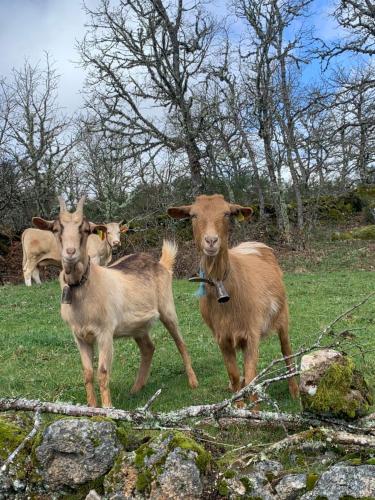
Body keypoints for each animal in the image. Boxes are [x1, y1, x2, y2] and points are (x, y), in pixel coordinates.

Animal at [32, 195, 200, 406]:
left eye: (85, 229)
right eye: (56, 229)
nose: (70, 252)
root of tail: (161, 264)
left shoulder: (105, 332)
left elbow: (103, 372)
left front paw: (108, 408)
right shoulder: (79, 336)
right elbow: (88, 373)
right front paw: (92, 408)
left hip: (167, 308)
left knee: (180, 342)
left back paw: (193, 382)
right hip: (138, 325)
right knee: (148, 348)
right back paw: (136, 388)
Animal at [169, 193, 302, 400]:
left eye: (226, 213)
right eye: (193, 215)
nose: (211, 241)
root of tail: (253, 243)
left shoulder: (252, 333)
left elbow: (251, 380)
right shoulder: (222, 338)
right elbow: (234, 377)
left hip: (283, 316)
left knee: (286, 349)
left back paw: (294, 391)